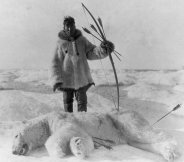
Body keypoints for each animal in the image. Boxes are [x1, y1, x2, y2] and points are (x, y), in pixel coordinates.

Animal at [11, 110, 178, 161]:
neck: (44, 121)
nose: (13, 151)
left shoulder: (60, 119)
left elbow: (65, 131)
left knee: (147, 134)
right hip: (125, 133)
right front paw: (78, 147)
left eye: (15, 135)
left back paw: (173, 149)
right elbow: (86, 139)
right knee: (144, 143)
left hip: (124, 121)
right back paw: (167, 153)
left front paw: (59, 152)